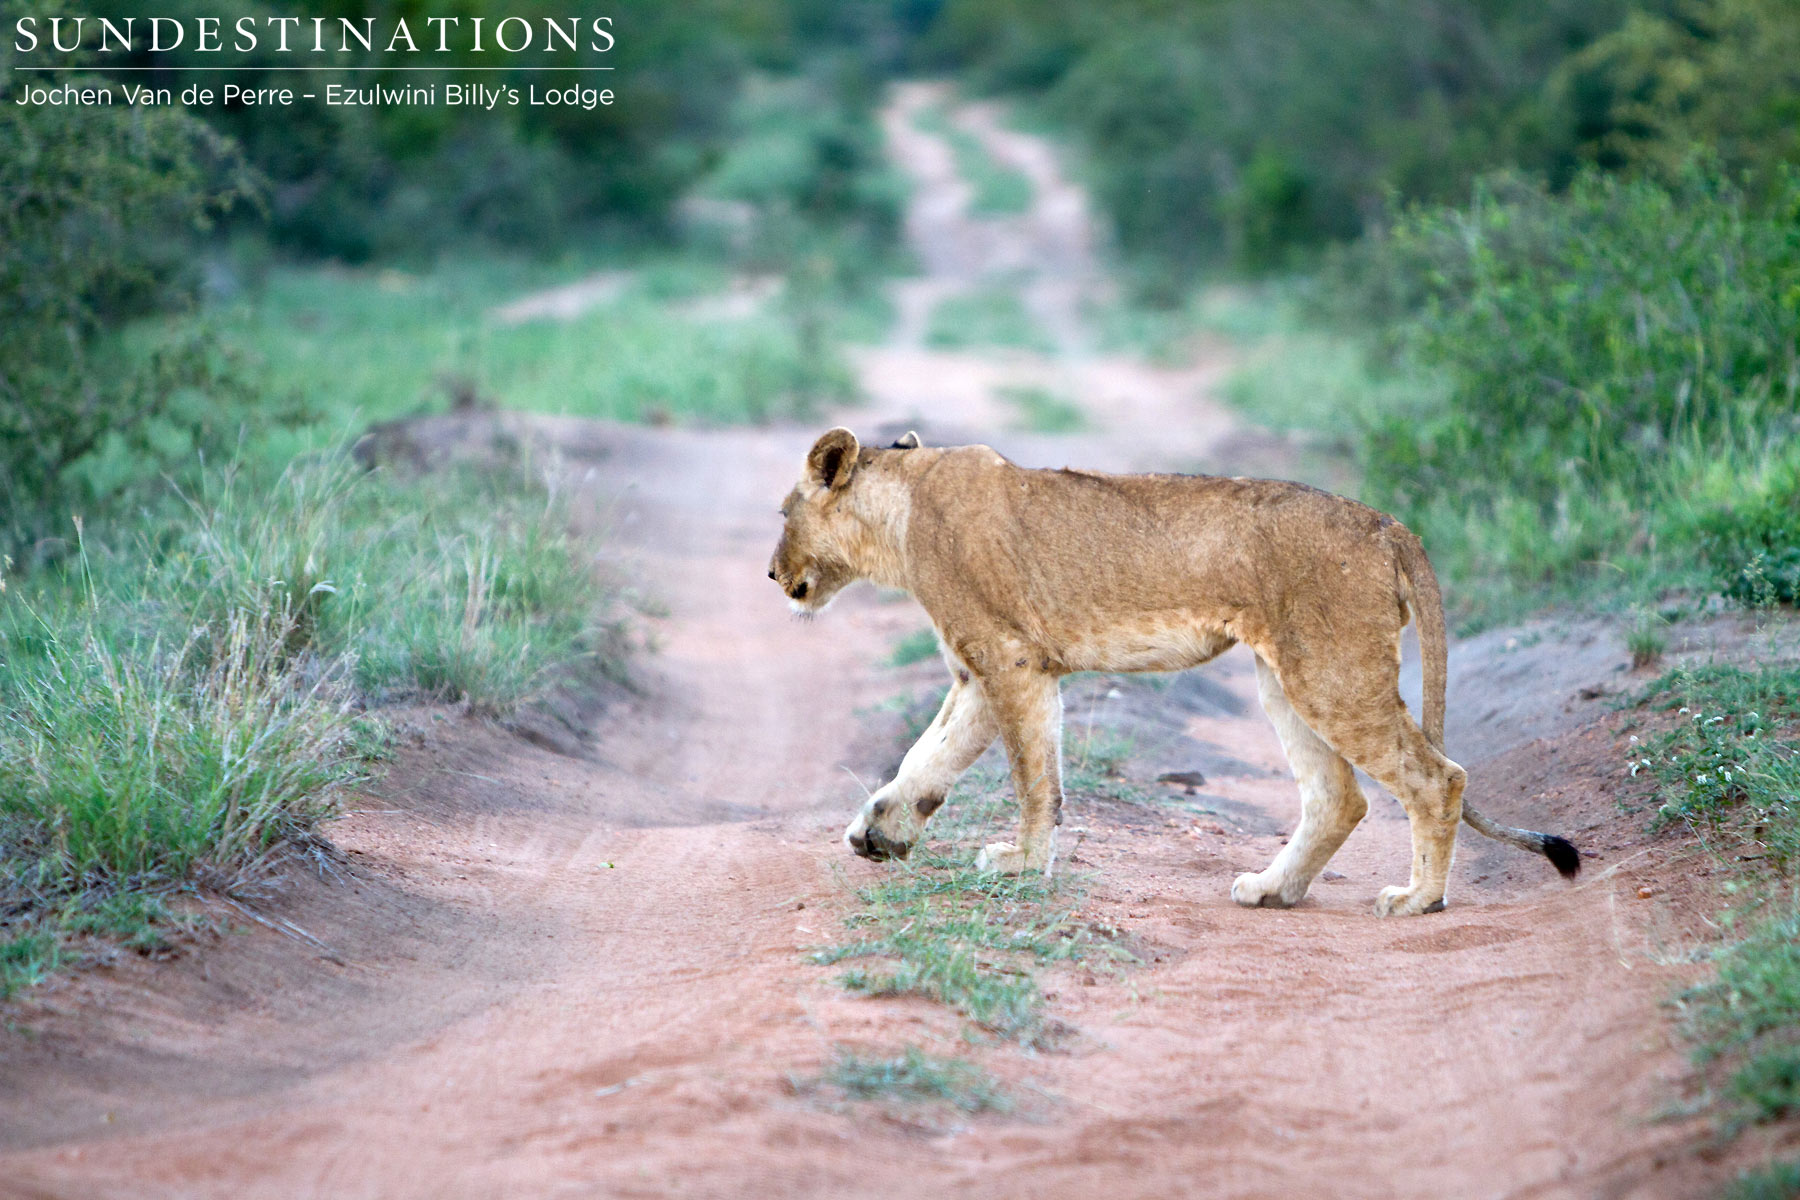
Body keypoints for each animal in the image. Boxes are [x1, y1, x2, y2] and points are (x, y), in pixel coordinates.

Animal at [768, 427, 1579, 916]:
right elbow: (925, 759)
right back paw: (1272, 888)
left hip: (1333, 673)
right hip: (1287, 676)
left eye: (782, 513)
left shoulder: (1010, 661)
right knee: (1340, 797)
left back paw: (1417, 900)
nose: (772, 573)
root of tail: (1387, 523)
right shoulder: (980, 673)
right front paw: (880, 834)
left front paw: (1024, 866)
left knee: (1437, 777)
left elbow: (1032, 779)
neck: (901, 513)